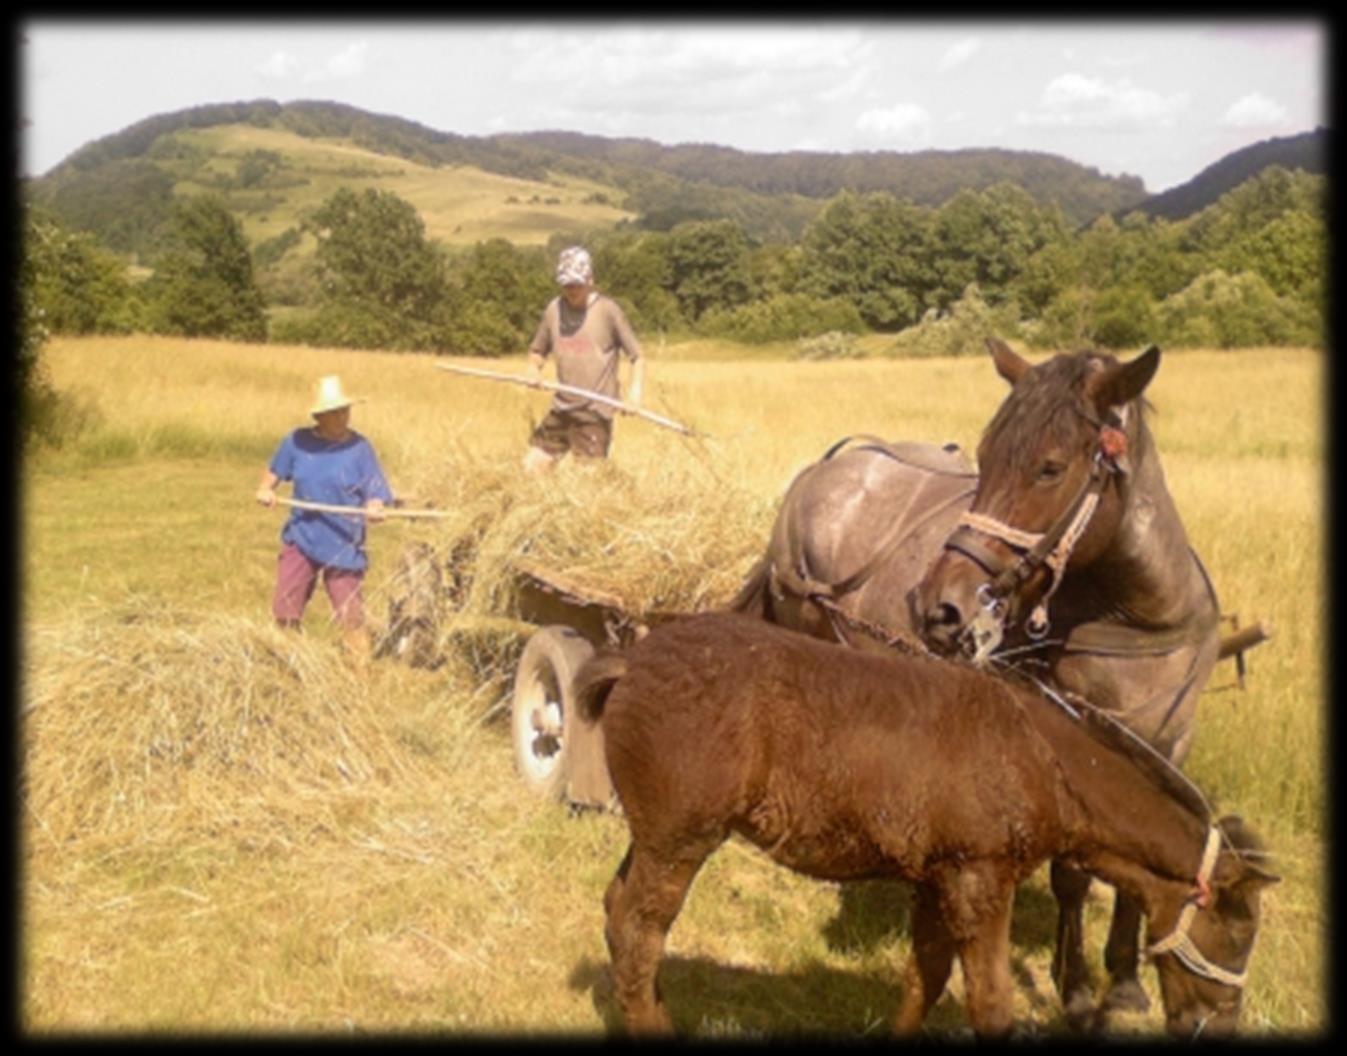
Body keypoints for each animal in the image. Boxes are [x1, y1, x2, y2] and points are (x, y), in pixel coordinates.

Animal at [576, 614, 1271, 1034]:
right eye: (1239, 932)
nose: (1221, 1024)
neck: (1039, 754)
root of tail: (633, 661)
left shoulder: (937, 879)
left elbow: (924, 978)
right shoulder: (978, 878)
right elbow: (989, 1000)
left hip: (654, 839)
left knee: (615, 911)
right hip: (681, 840)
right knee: (639, 932)